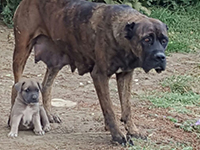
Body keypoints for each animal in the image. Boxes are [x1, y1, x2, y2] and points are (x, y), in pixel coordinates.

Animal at [12, 0, 169, 145]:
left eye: (164, 41)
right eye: (147, 39)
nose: (160, 57)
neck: (122, 36)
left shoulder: (126, 75)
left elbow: (127, 107)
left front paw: (133, 131)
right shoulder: (100, 76)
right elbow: (109, 109)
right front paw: (117, 135)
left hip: (55, 61)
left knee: (46, 86)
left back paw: (49, 115)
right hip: (21, 51)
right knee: (16, 87)